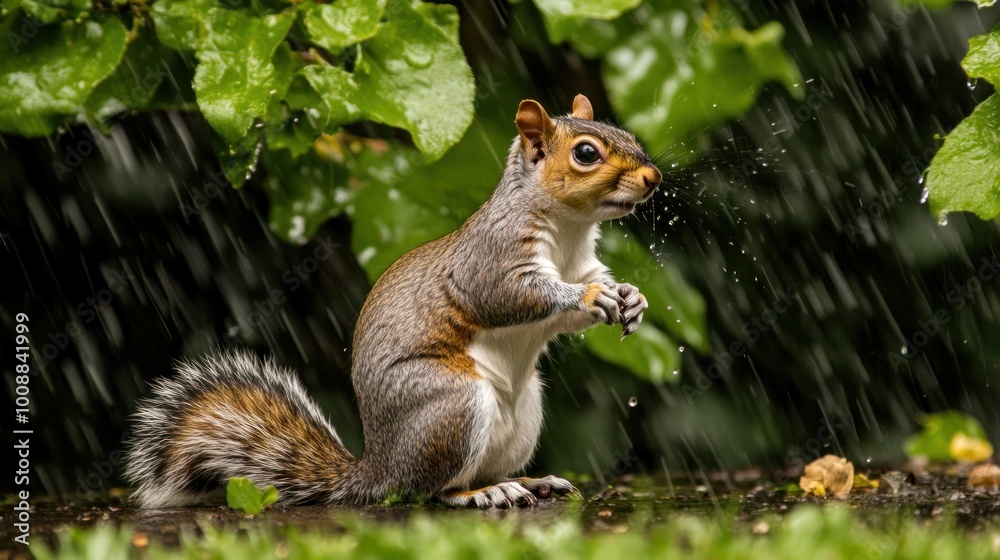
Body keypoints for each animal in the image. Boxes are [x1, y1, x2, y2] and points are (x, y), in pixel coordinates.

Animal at [124, 94, 663, 509]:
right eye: (587, 153)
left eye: (625, 133)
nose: (653, 177)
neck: (570, 228)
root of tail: (377, 469)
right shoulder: (489, 260)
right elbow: (507, 297)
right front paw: (590, 296)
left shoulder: (582, 260)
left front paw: (632, 298)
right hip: (450, 406)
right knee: (430, 489)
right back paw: (479, 494)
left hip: (524, 409)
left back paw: (529, 482)